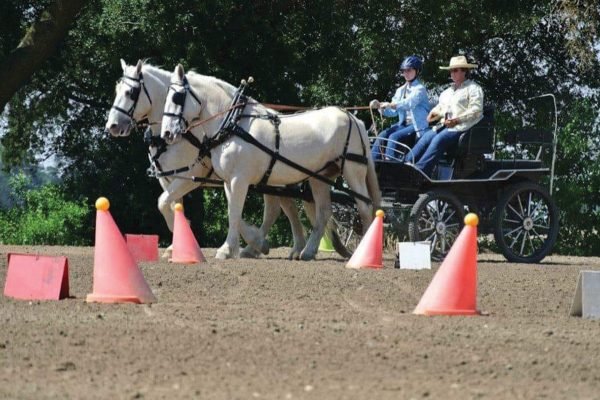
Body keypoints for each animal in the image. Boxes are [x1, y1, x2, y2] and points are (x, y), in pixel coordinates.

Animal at [104, 59, 310, 260]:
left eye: (131, 92)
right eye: (116, 90)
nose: (112, 126)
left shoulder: (190, 176)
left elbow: (163, 203)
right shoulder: (168, 177)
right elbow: (174, 205)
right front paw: (175, 246)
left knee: (280, 208)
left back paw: (277, 246)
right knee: (284, 207)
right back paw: (274, 247)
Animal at [162, 64, 382, 260]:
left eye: (176, 97)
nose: (167, 133)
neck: (234, 123)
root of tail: (354, 118)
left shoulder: (239, 179)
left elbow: (234, 212)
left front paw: (227, 250)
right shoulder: (228, 180)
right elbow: (233, 211)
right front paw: (238, 247)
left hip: (353, 170)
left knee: (364, 207)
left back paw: (361, 252)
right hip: (320, 176)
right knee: (323, 212)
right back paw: (308, 252)